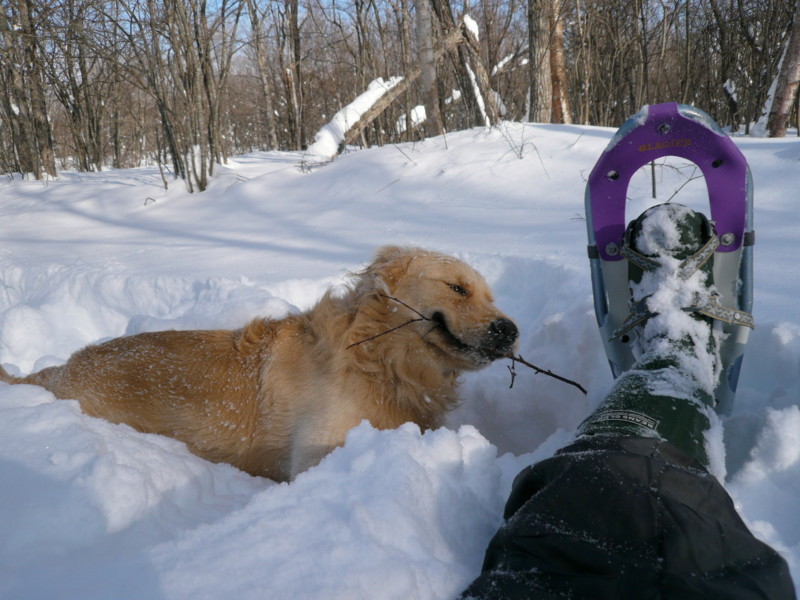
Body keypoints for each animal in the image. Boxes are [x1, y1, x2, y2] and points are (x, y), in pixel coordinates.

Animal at [1, 246, 520, 480]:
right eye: (457, 288)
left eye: (490, 295)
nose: (510, 330)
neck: (378, 360)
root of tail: (56, 374)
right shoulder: (319, 450)